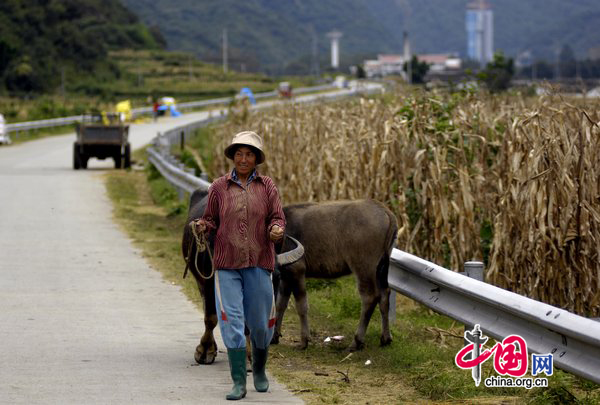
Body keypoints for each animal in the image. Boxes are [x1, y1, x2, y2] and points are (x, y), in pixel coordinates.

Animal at [274, 200, 398, 350]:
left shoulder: (297, 270)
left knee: (370, 297)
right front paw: (274, 337)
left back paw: (356, 341)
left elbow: (301, 306)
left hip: (364, 267)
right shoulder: (285, 276)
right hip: (382, 267)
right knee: (385, 295)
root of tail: (386, 211)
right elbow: (280, 304)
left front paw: (304, 341)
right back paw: (386, 338)